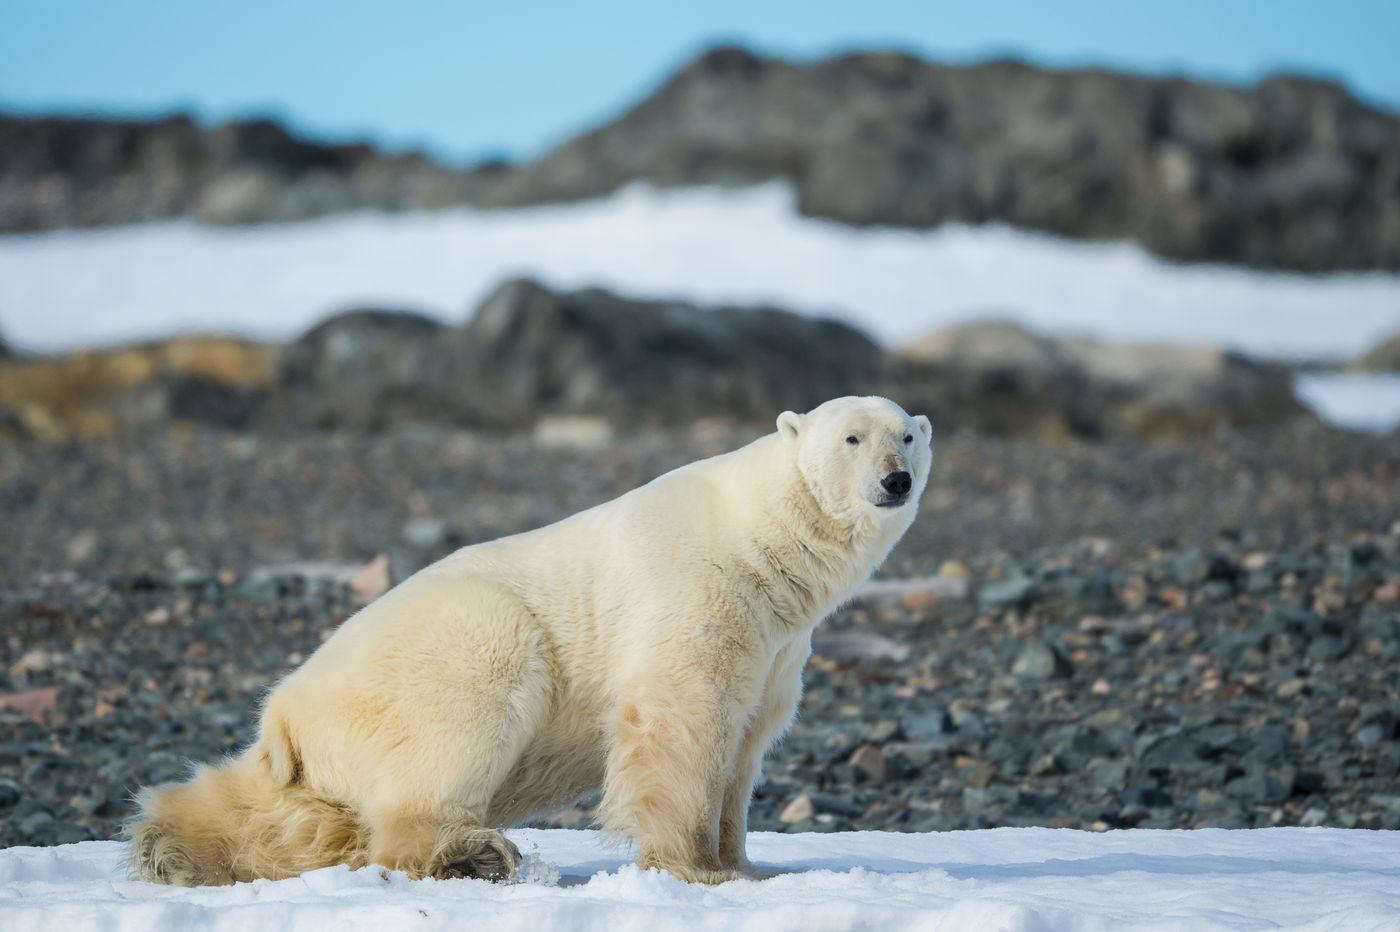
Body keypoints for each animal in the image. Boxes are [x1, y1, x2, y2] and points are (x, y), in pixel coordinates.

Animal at [128, 394, 929, 884]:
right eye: (851, 437)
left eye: (909, 436)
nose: (895, 480)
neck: (758, 540)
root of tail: (285, 711)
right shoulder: (696, 597)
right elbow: (683, 723)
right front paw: (695, 866)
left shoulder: (777, 647)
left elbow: (745, 743)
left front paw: (746, 863)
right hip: (460, 643)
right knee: (453, 730)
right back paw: (472, 853)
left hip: (313, 757)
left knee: (280, 806)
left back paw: (173, 845)